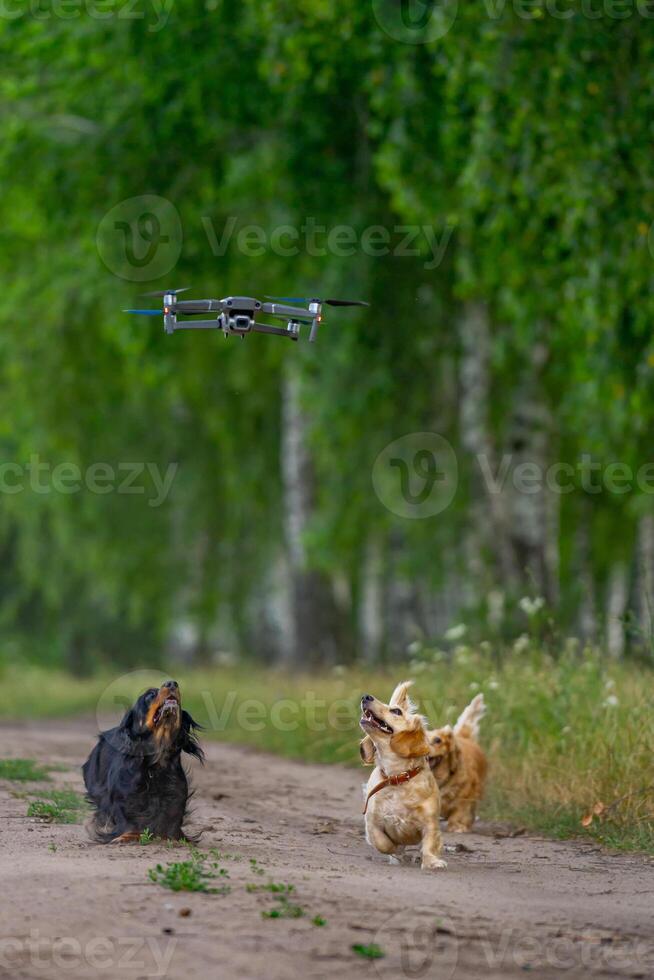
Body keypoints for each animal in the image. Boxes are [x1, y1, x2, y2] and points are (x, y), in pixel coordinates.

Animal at [83, 680, 204, 844]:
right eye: (150, 695)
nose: (172, 683)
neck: (156, 762)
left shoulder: (175, 794)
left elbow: (173, 818)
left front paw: (172, 837)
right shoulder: (123, 795)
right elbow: (127, 818)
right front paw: (127, 835)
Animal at [362, 680, 448, 872]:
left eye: (396, 711)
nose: (365, 696)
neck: (397, 776)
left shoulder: (430, 822)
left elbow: (430, 844)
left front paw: (432, 862)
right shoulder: (373, 822)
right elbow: (383, 843)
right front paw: (396, 852)